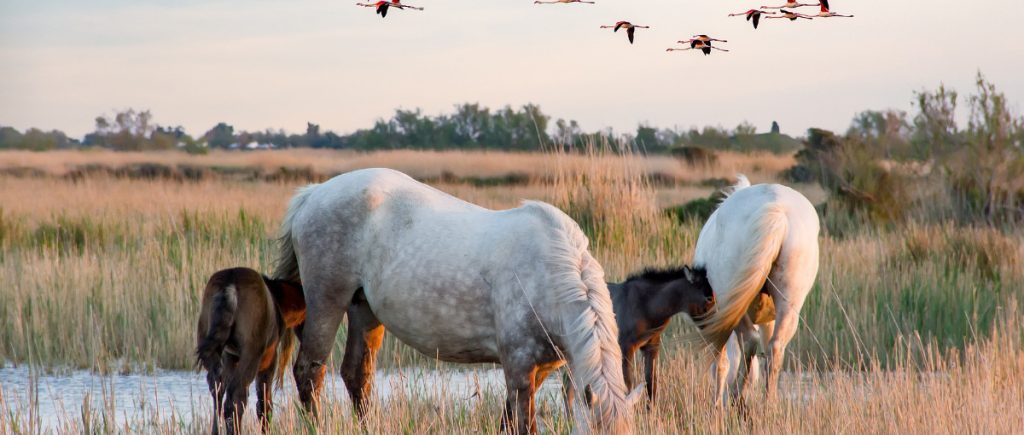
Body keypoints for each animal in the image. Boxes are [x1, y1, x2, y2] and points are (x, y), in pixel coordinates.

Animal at [193, 266, 301, 433]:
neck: (280, 303)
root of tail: (229, 286)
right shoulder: (269, 358)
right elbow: (264, 404)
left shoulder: (230, 357)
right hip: (252, 352)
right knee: (237, 396)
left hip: (208, 342)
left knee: (217, 388)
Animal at [276, 167, 634, 431]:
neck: (550, 270)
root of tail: (313, 194)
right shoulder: (519, 367)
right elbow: (522, 424)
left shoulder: (542, 367)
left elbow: (506, 422)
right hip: (327, 301)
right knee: (310, 373)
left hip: (363, 309)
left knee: (357, 376)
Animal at [565, 264, 716, 407]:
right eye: (708, 298)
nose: (715, 327)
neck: (646, 306)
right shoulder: (626, 348)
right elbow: (627, 384)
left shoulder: (651, 347)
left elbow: (651, 383)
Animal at [692, 175, 819, 405]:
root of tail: (777, 209)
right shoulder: (768, 319)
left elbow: (721, 364)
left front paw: (716, 403)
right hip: (789, 302)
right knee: (775, 348)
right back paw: (769, 403)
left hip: (730, 301)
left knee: (749, 340)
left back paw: (737, 395)